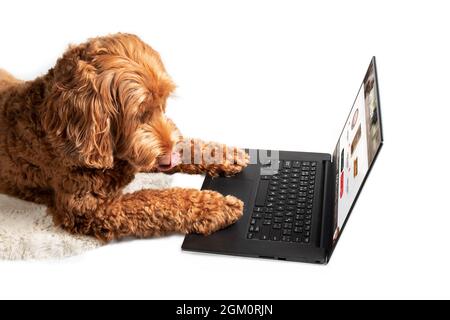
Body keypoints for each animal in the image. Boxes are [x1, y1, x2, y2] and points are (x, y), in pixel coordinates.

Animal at [0, 33, 250, 241]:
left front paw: (224, 155)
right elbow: (153, 200)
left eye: (163, 103)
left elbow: (187, 146)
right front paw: (216, 206)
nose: (169, 154)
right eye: (140, 114)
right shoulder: (88, 208)